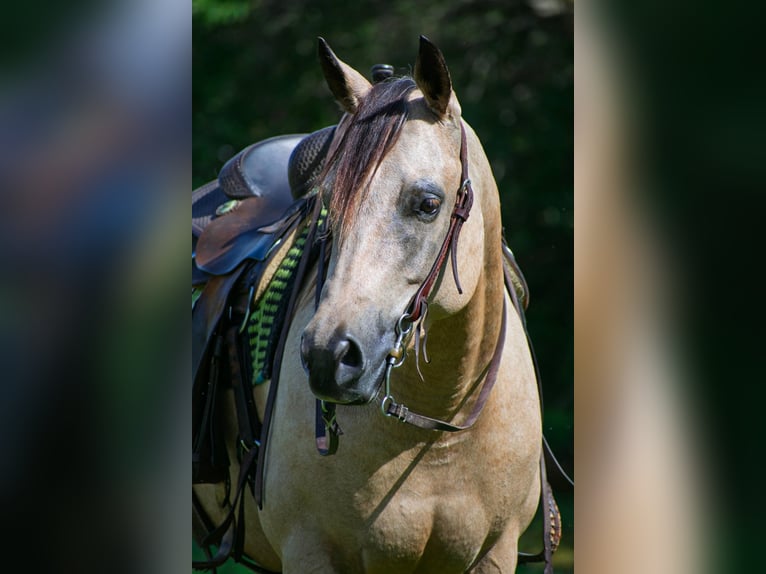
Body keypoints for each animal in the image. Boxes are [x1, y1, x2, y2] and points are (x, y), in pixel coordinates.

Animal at [195, 37, 548, 574]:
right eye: (327, 205)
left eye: (428, 204)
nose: (329, 357)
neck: (435, 433)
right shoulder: (311, 552)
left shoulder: (496, 553)